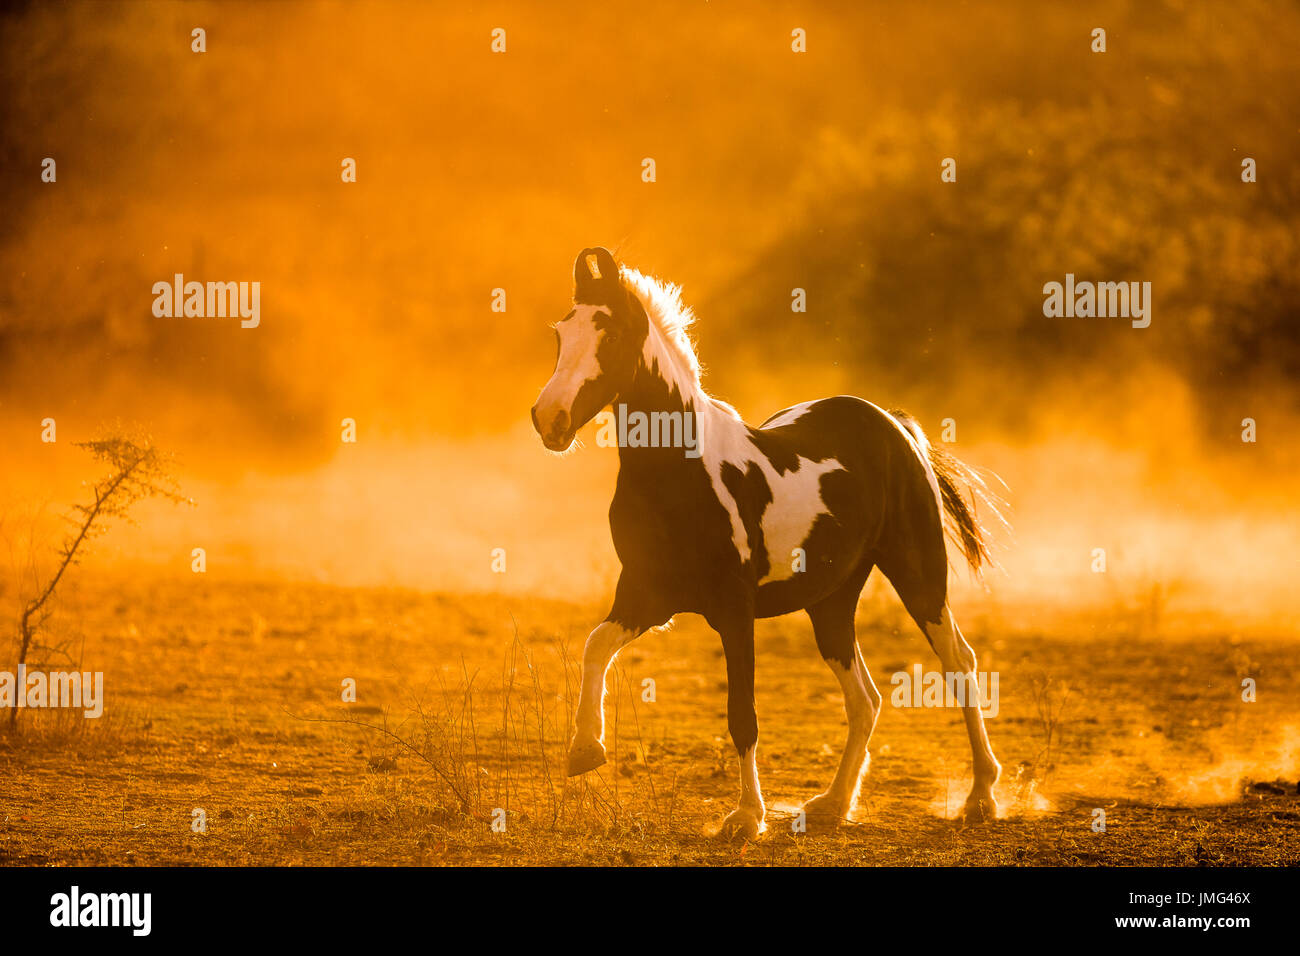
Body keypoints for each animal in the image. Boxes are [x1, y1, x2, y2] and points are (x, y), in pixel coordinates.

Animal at [527, 244, 1003, 837]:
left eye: (609, 336)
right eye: (561, 333)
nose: (549, 419)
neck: (679, 471)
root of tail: (893, 424)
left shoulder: (734, 609)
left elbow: (742, 715)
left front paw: (746, 817)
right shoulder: (644, 595)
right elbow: (595, 645)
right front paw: (585, 749)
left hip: (920, 577)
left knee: (959, 662)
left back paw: (981, 796)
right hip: (831, 602)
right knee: (865, 699)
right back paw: (832, 804)